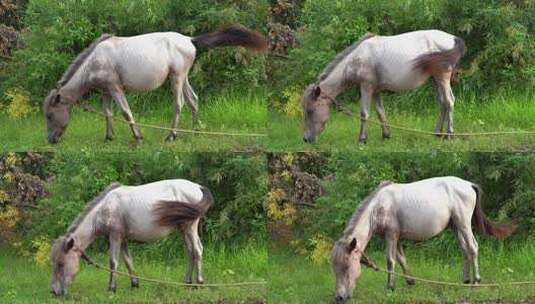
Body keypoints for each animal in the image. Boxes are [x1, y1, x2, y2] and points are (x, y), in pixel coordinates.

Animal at [43, 24, 268, 144]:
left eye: (50, 115)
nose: (51, 140)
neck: (95, 61)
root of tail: (189, 39)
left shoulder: (115, 89)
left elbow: (126, 112)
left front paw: (138, 136)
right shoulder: (106, 92)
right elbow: (108, 113)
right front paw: (109, 137)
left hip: (176, 78)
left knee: (179, 104)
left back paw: (172, 136)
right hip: (183, 78)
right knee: (193, 100)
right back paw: (195, 131)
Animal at [49, 179, 214, 296]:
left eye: (61, 264)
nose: (54, 292)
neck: (104, 209)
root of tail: (197, 187)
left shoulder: (115, 237)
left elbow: (113, 262)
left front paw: (111, 288)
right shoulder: (123, 239)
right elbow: (128, 261)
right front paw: (134, 284)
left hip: (190, 227)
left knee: (197, 251)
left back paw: (199, 283)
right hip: (183, 230)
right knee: (190, 253)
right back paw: (187, 283)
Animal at [304, 30, 466, 143]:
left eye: (310, 111)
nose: (306, 139)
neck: (357, 59)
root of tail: (453, 38)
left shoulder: (366, 87)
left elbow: (364, 113)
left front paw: (362, 139)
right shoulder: (376, 91)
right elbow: (380, 112)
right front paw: (386, 135)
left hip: (442, 77)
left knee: (449, 101)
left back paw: (449, 134)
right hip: (436, 79)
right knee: (443, 102)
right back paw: (437, 133)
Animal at [332, 177, 516, 302]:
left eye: (347, 267)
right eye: (334, 269)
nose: (339, 297)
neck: (378, 207)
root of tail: (468, 184)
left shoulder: (391, 235)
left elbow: (391, 260)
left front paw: (390, 287)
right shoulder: (397, 238)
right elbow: (401, 259)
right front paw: (410, 282)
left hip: (463, 224)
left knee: (473, 247)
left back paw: (476, 282)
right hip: (455, 226)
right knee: (465, 250)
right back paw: (465, 281)